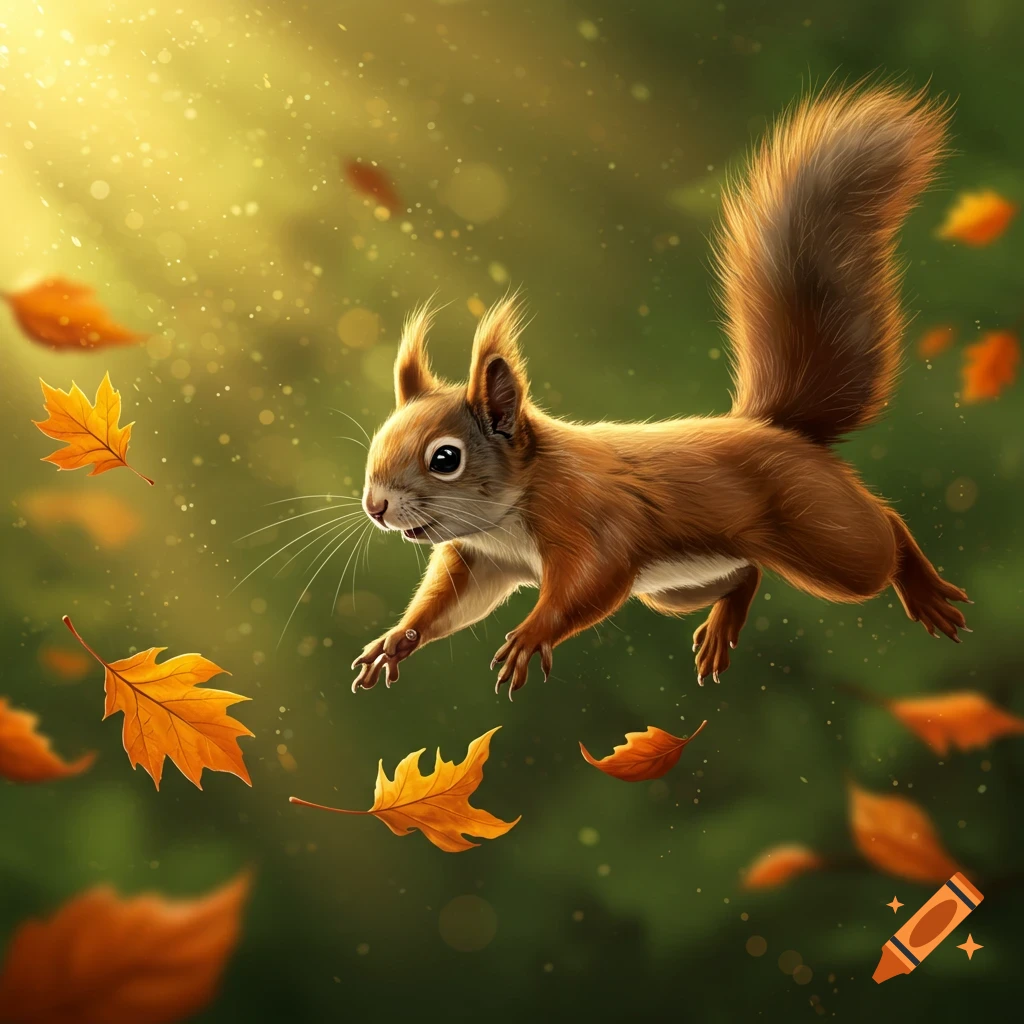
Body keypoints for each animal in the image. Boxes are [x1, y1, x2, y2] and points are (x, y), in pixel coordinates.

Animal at [351, 83, 969, 698]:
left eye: (445, 458)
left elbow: (590, 585)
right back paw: (721, 628)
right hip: (676, 588)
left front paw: (530, 635)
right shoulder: (482, 560)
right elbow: (449, 604)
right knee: (747, 573)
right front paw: (396, 640)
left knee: (883, 536)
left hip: (826, 534)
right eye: (377, 442)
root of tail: (774, 428)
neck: (511, 512)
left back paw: (923, 588)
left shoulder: (593, 523)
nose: (376, 506)